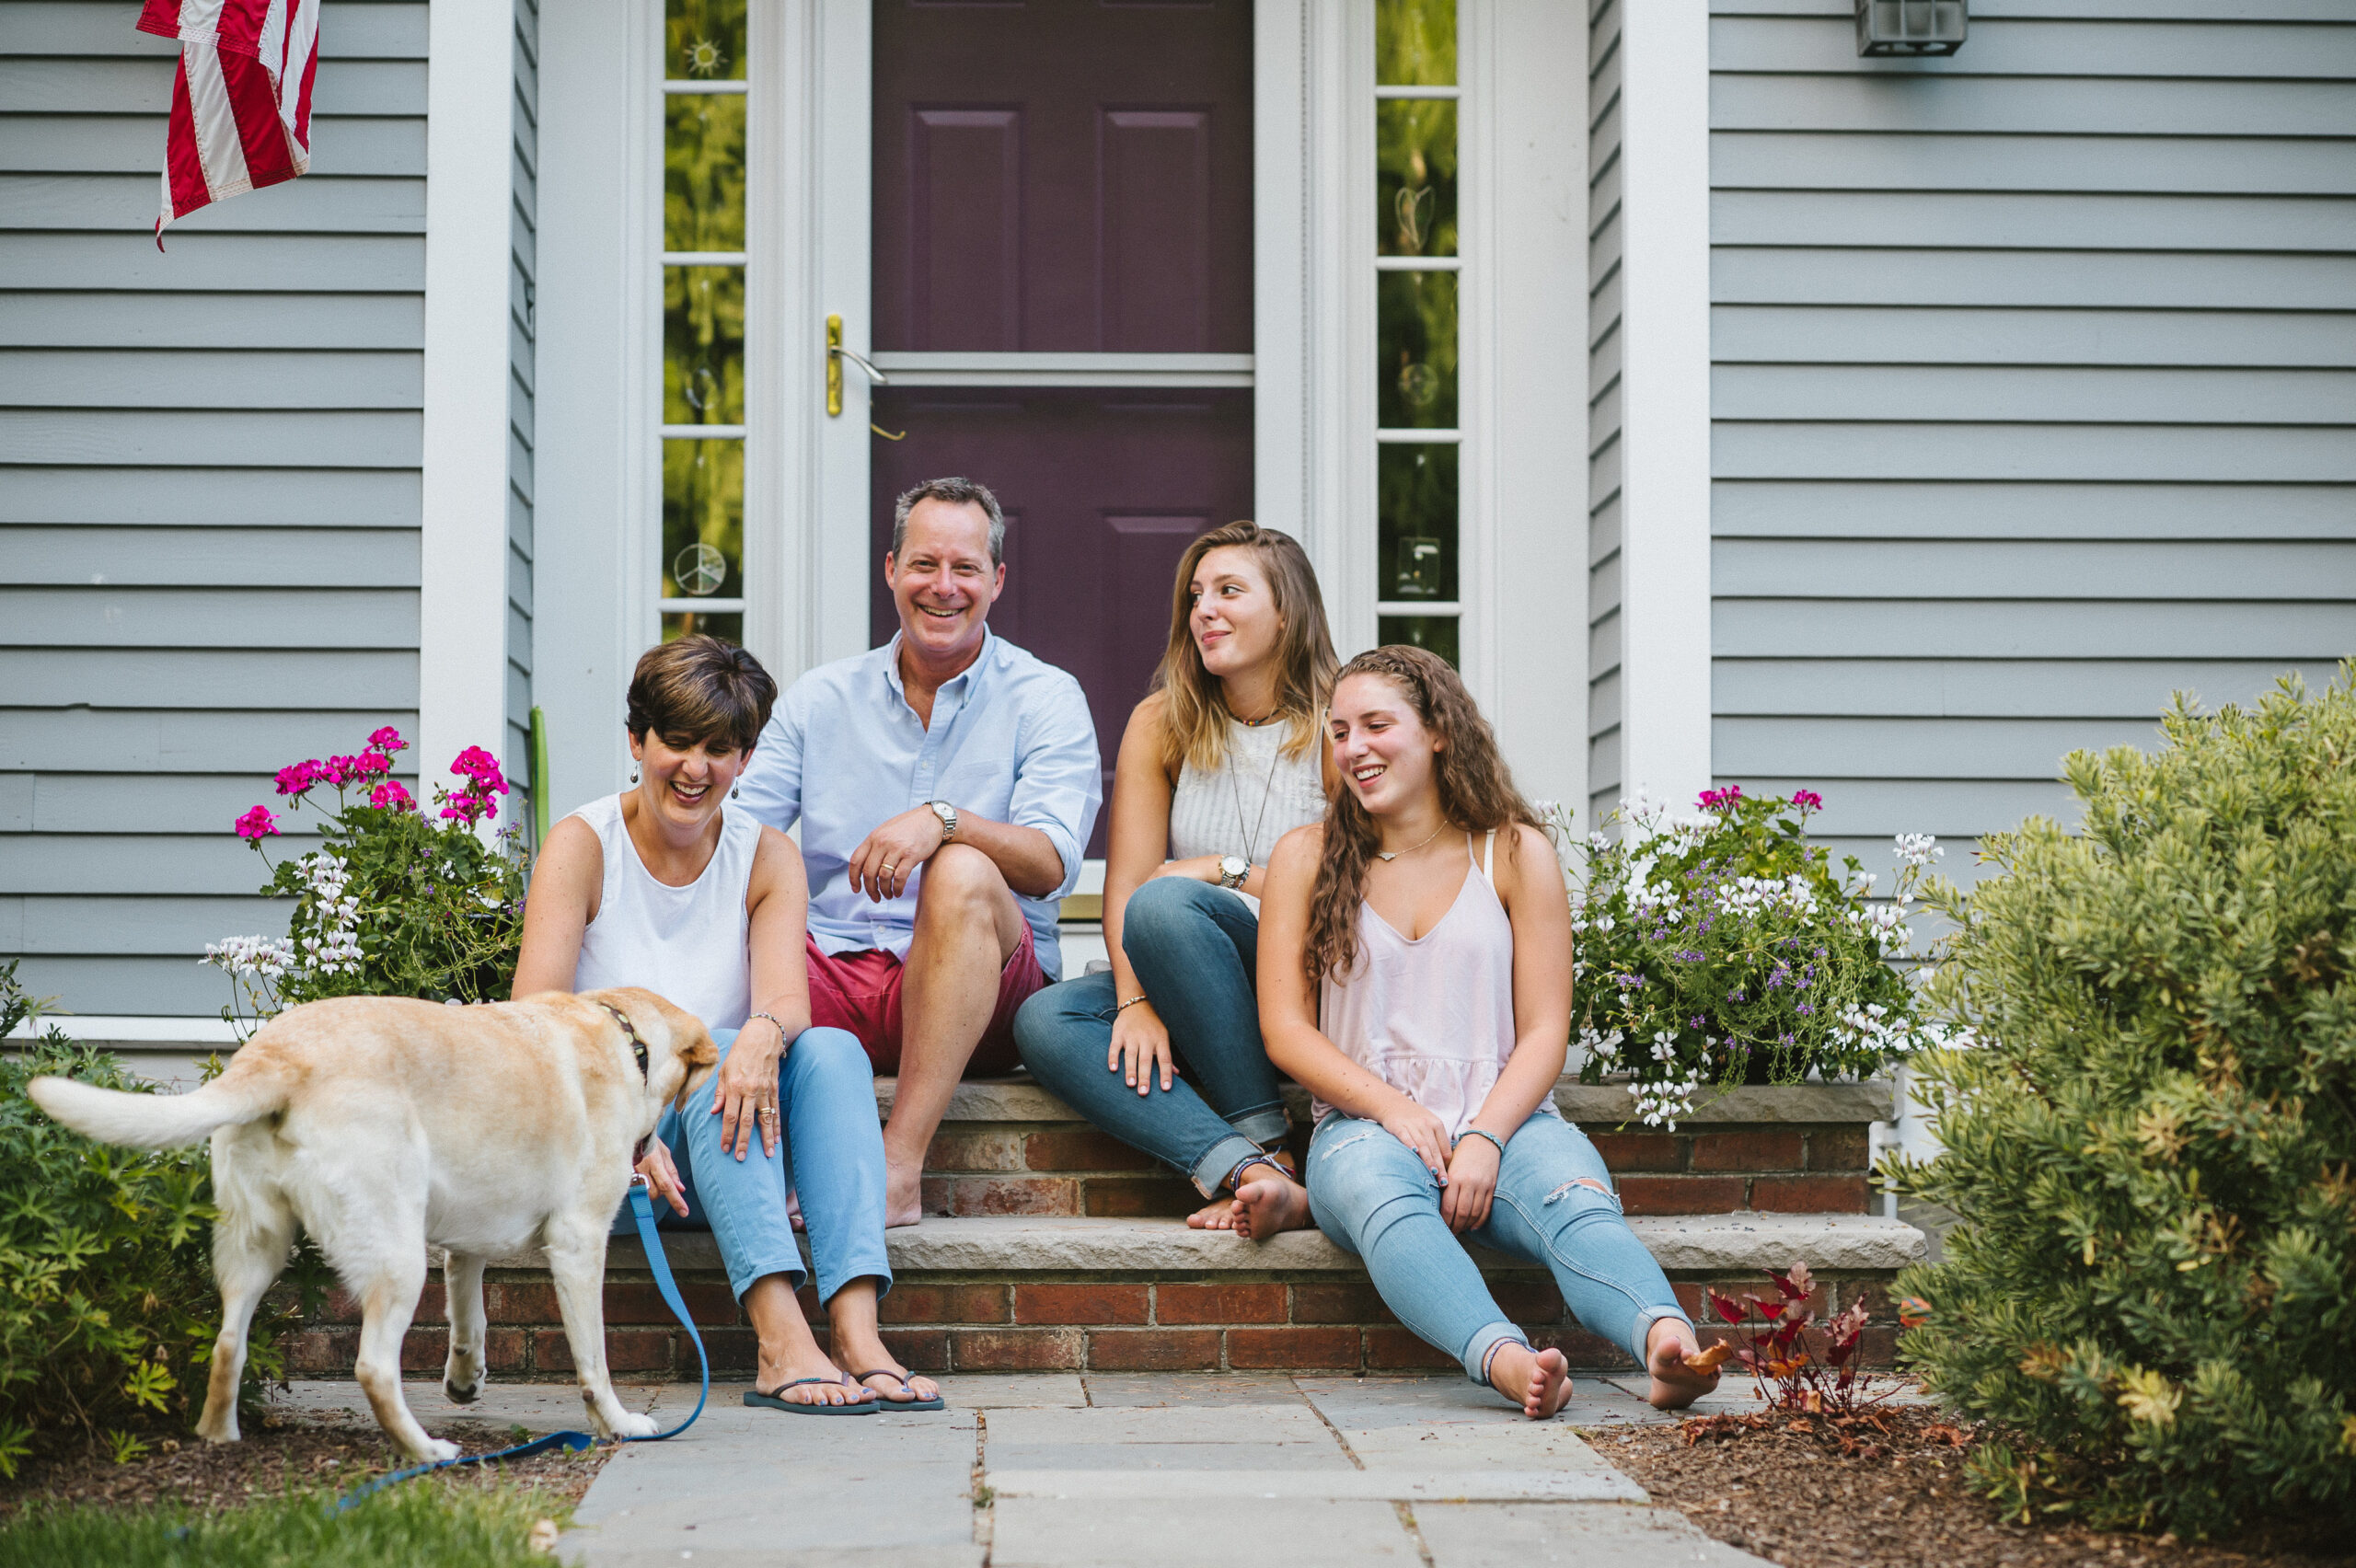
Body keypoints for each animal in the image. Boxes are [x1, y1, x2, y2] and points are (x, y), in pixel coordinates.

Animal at [28, 984, 711, 1459]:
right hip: (396, 1256)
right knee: (373, 1367)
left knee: (226, 1344)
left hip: (256, 1246)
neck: (624, 1034)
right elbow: (594, 1360)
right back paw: (426, 1452)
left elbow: (470, 1315)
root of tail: (277, 1057)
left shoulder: (468, 1239)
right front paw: (617, 1424)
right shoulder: (577, 1243)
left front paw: (465, 1379)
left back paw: (220, 1438)